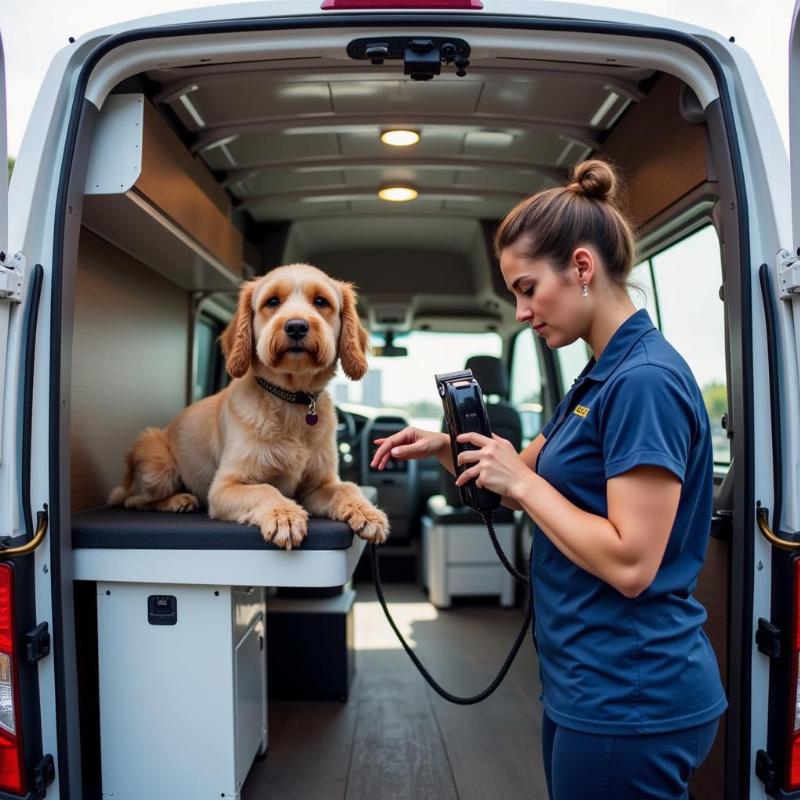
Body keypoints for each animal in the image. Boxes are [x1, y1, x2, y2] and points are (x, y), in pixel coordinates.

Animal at [109, 262, 390, 552]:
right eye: (272, 301)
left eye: (321, 301)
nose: (296, 327)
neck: (291, 400)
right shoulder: (224, 487)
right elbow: (265, 489)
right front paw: (284, 515)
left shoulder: (317, 486)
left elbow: (347, 488)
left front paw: (366, 511)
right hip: (157, 465)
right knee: (133, 500)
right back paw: (178, 499)